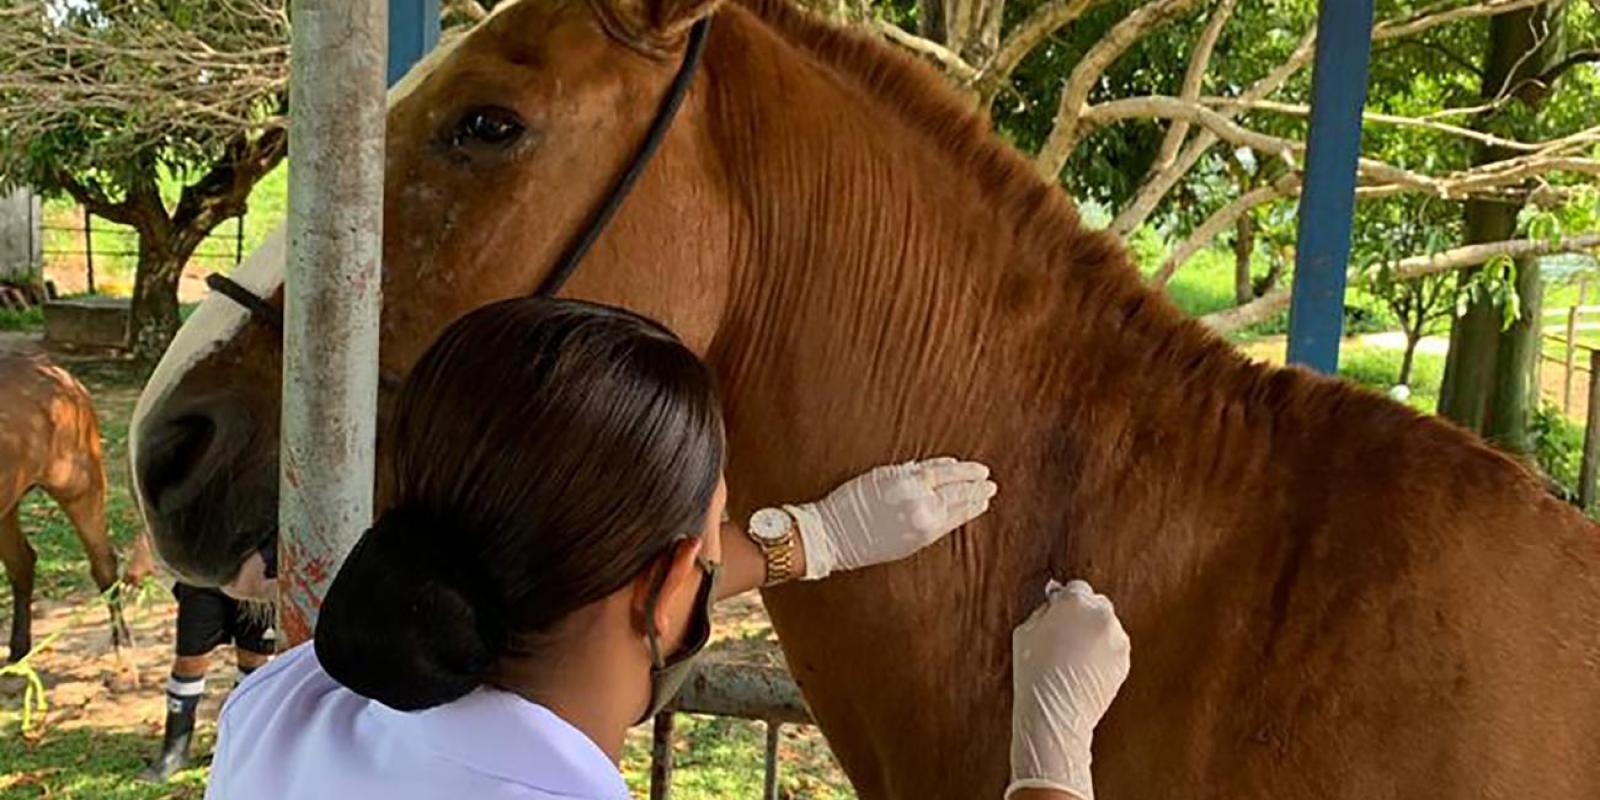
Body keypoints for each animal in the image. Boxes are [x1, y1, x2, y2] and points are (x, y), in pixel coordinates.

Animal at [0, 353, 129, 659]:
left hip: (81, 488)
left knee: (104, 564)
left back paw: (122, 647)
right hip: (7, 509)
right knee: (22, 564)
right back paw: (18, 654)